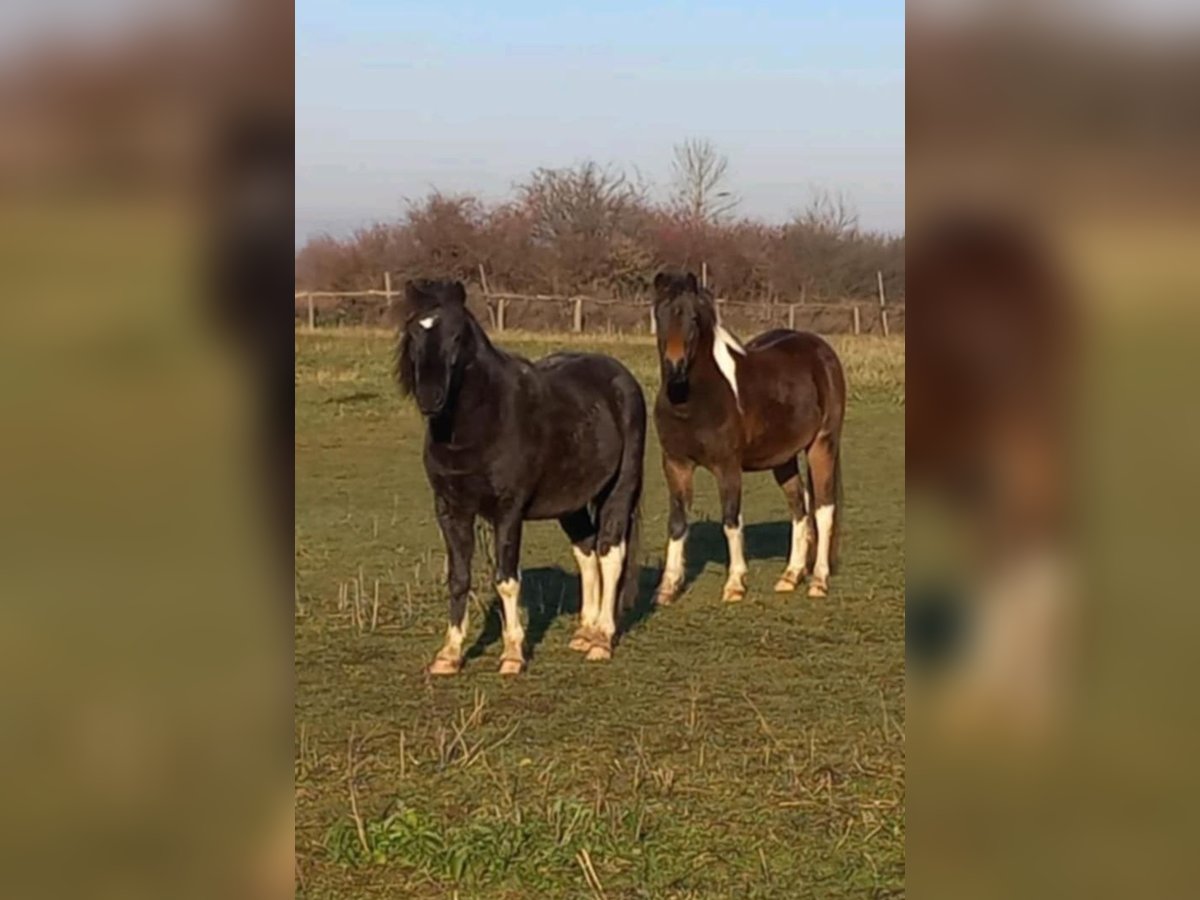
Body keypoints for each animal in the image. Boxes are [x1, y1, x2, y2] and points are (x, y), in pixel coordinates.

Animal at [396, 282, 648, 676]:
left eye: (456, 336)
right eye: (412, 333)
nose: (429, 398)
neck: (481, 423)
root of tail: (624, 379)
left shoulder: (508, 512)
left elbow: (507, 580)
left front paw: (513, 655)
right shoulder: (450, 510)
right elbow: (458, 579)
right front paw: (448, 655)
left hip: (619, 489)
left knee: (610, 552)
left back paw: (602, 641)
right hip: (572, 503)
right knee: (587, 550)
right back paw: (584, 633)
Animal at [652, 271, 849, 602]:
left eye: (693, 318)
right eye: (660, 314)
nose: (675, 366)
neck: (694, 398)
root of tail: (822, 352)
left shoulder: (728, 466)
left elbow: (731, 521)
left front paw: (735, 584)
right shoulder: (675, 464)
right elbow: (677, 523)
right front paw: (668, 588)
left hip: (822, 444)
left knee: (823, 509)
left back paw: (818, 581)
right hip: (783, 459)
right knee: (799, 507)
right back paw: (791, 576)